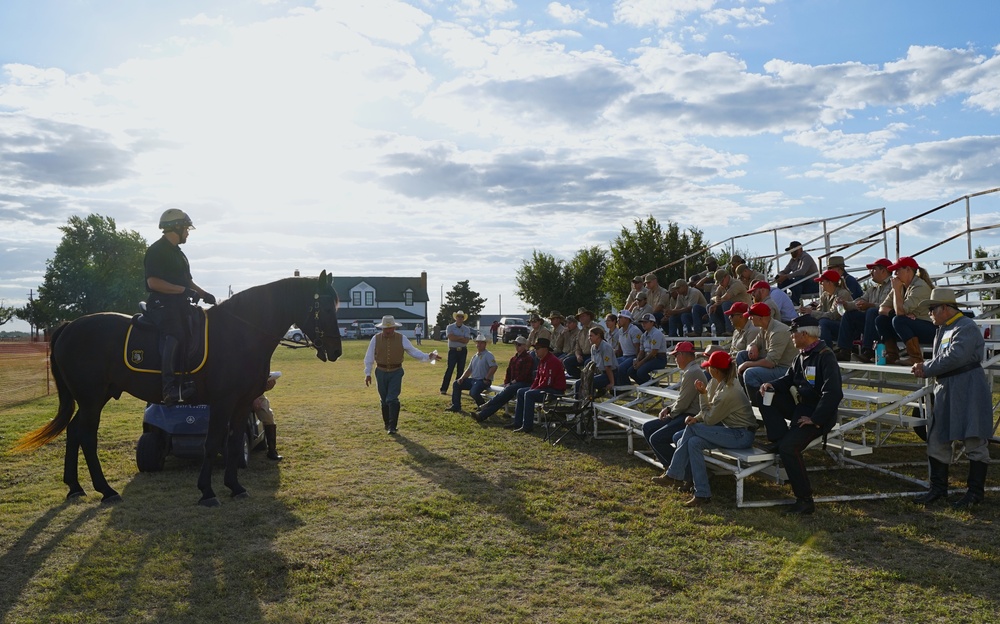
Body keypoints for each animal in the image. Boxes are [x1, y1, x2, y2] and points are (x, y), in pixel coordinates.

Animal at [14, 270, 344, 504]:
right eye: (326, 308)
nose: (336, 351)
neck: (240, 331)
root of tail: (70, 325)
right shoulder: (223, 402)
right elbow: (211, 443)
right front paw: (207, 492)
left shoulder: (241, 403)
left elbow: (234, 443)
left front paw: (235, 486)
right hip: (92, 399)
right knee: (86, 437)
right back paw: (105, 490)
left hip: (93, 397)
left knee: (73, 432)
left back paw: (74, 487)